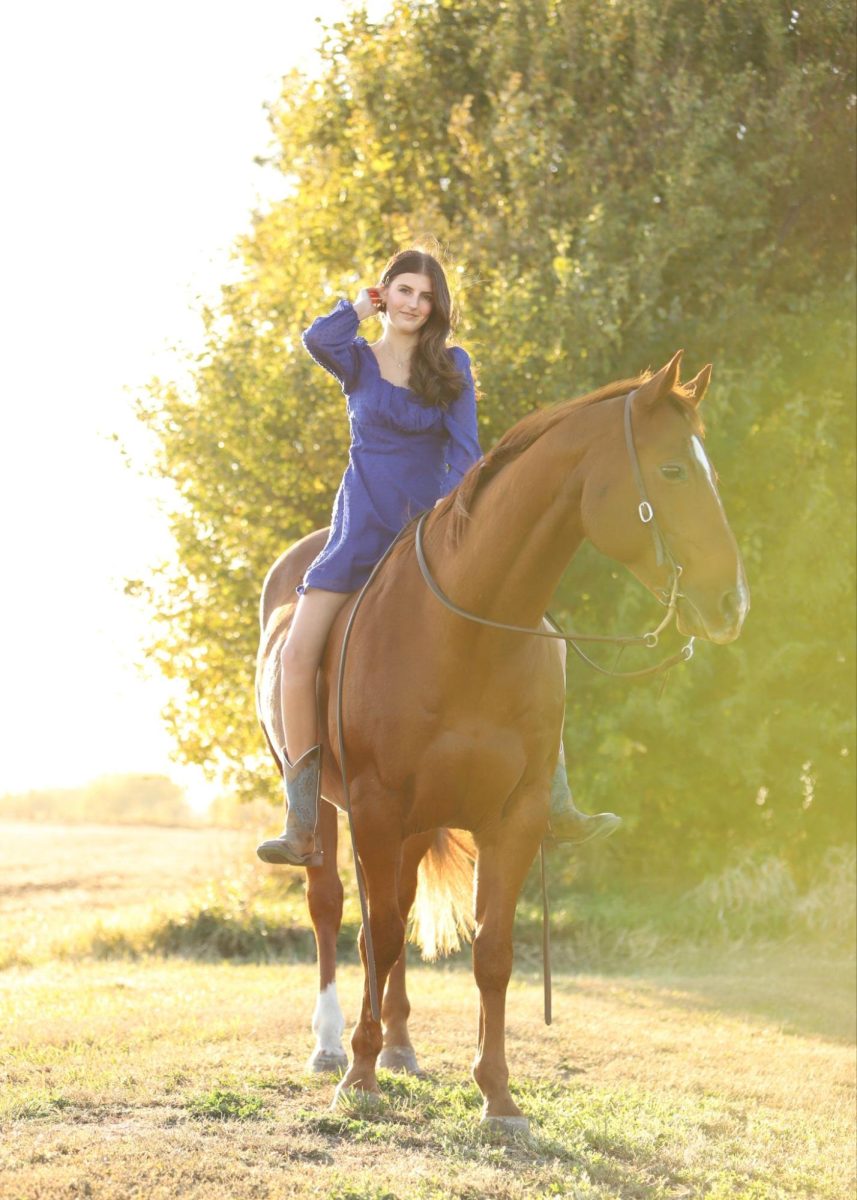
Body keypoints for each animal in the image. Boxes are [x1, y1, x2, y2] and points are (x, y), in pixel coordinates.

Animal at [253, 350, 748, 1128]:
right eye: (671, 470)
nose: (732, 602)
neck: (465, 630)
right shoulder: (375, 808)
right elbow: (377, 933)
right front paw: (359, 1078)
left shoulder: (512, 817)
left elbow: (490, 951)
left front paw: (497, 1095)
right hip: (330, 810)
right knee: (332, 910)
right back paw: (333, 1046)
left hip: (415, 825)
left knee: (393, 920)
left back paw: (399, 1047)